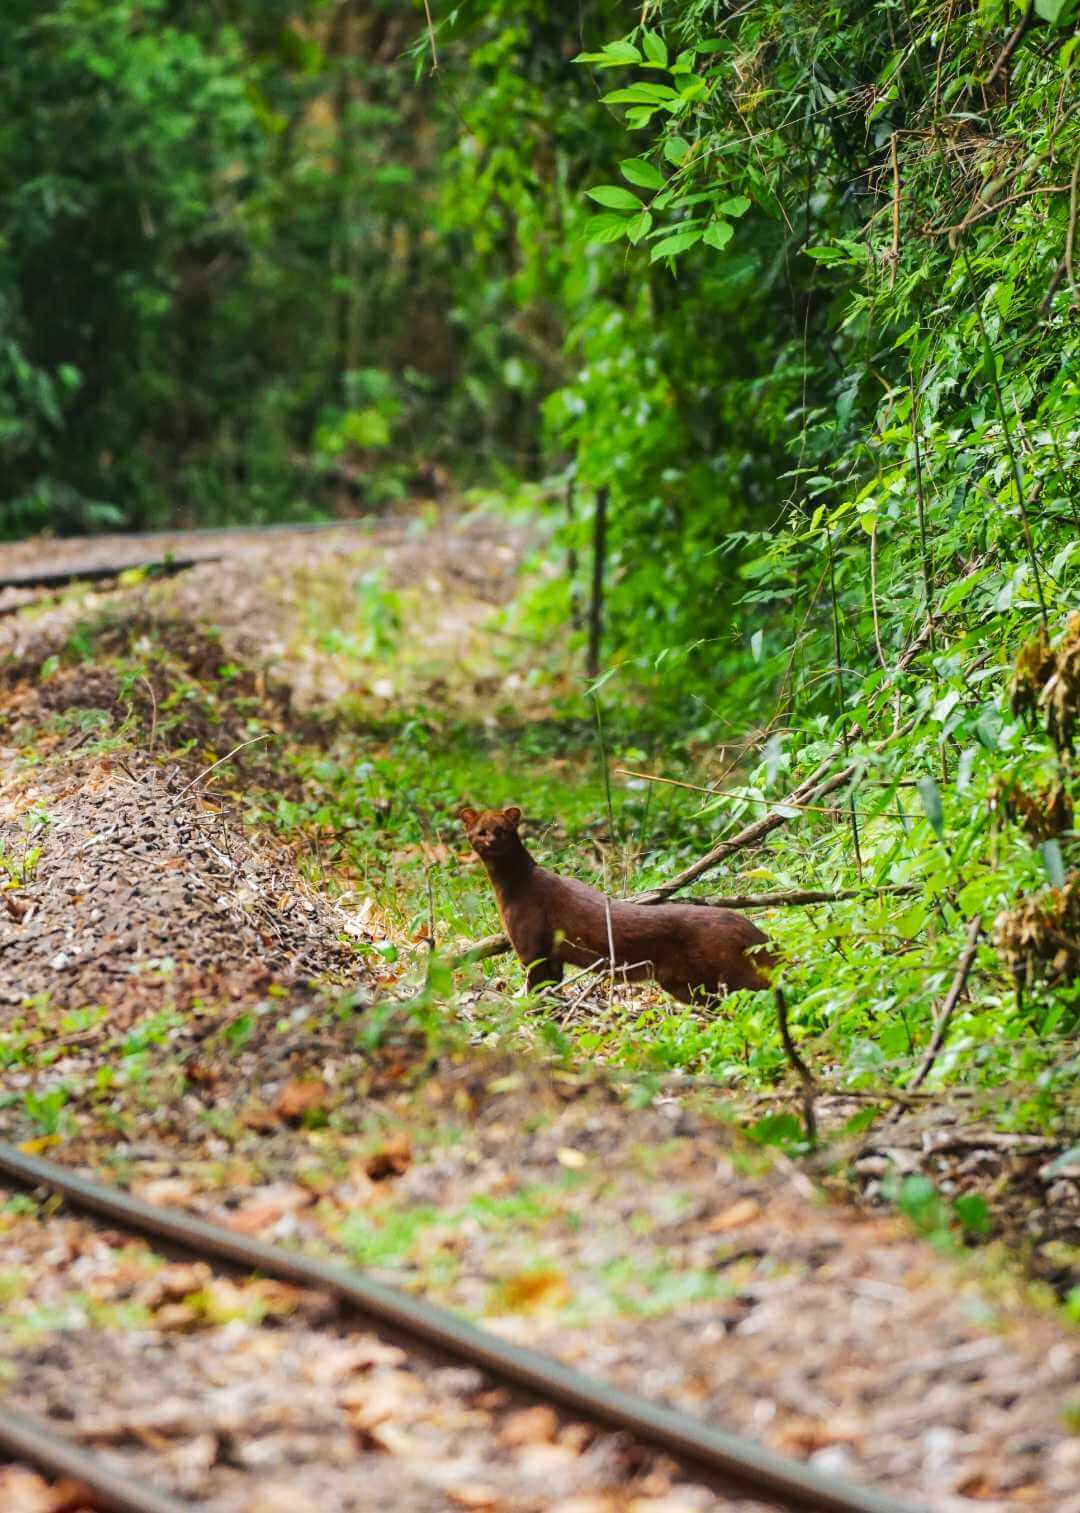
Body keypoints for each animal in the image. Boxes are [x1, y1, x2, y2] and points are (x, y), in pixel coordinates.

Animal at [459, 804, 768, 1004]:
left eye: (502, 829)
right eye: (481, 831)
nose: (491, 840)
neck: (512, 888)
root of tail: (748, 926)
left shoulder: (530, 945)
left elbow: (537, 987)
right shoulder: (553, 954)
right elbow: (552, 985)